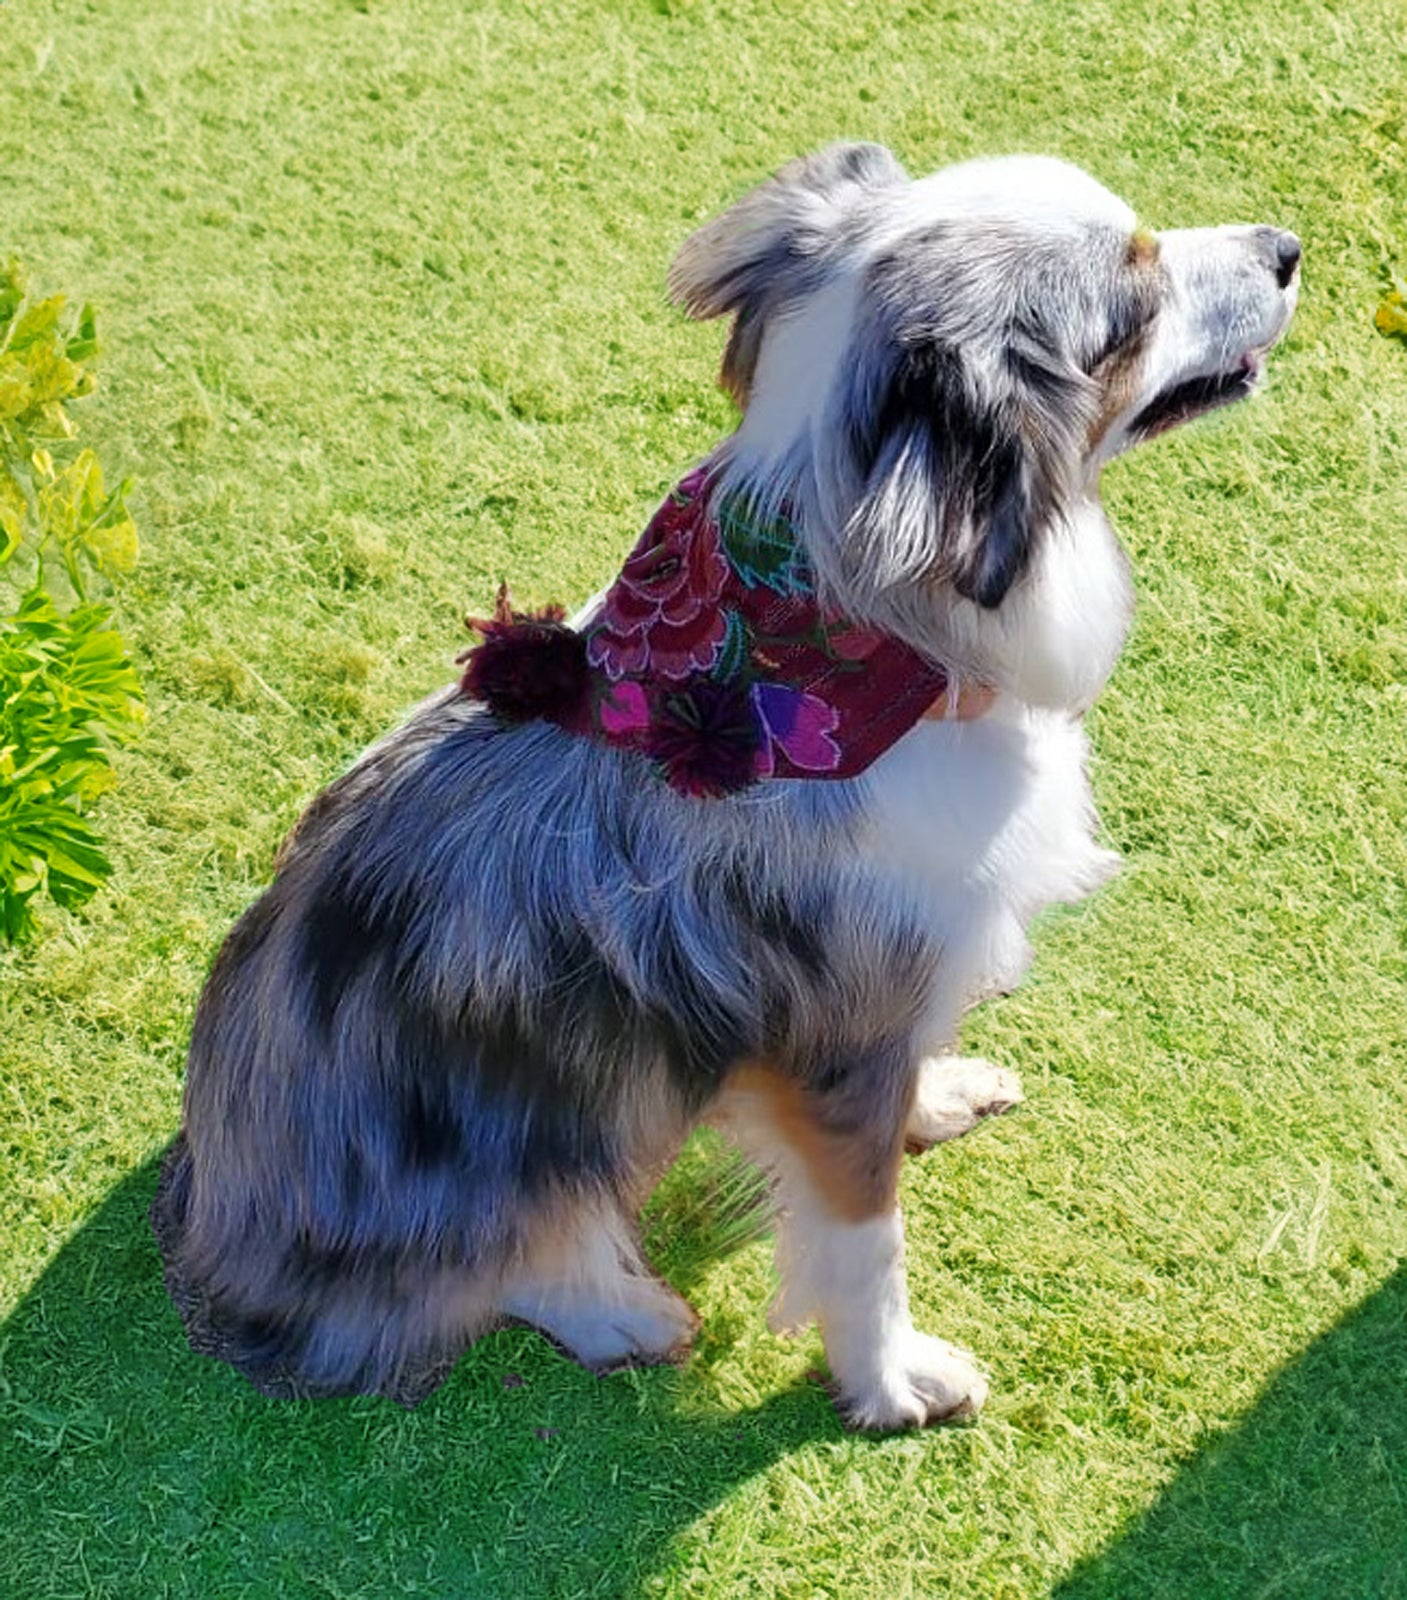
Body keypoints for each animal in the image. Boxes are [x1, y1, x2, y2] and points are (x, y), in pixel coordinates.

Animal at [151, 144, 1299, 1433]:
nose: (1289, 249)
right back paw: (620, 1310)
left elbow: (904, 1088)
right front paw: (892, 1380)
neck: (871, 646)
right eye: (1132, 302)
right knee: (470, 1269)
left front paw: (938, 1094)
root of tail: (212, 1219)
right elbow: (863, 1237)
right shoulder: (833, 1026)